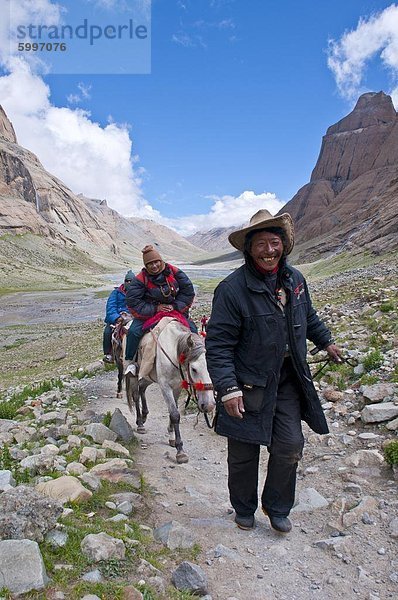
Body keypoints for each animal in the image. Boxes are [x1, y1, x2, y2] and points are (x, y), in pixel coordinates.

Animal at [126, 318, 216, 464]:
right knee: (135, 395)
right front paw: (180, 451)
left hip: (149, 376)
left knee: (142, 388)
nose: (208, 405)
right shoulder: (165, 386)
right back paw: (140, 423)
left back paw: (144, 416)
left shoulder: (177, 386)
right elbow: (174, 414)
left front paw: (172, 437)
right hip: (134, 376)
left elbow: (173, 411)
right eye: (194, 369)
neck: (174, 350)